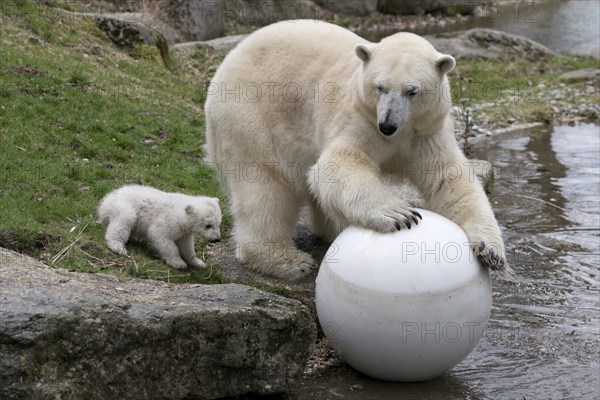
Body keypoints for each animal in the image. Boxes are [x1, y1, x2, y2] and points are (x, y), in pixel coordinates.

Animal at [206, 19, 506, 282]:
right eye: (380, 87)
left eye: (412, 91)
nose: (387, 125)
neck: (401, 131)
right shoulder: (360, 118)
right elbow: (338, 165)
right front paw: (401, 215)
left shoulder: (427, 132)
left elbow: (449, 180)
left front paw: (491, 250)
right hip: (252, 114)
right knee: (265, 187)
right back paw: (288, 261)